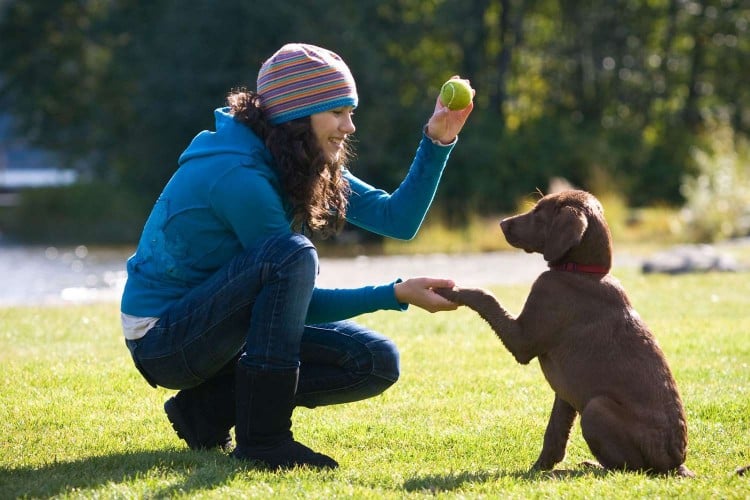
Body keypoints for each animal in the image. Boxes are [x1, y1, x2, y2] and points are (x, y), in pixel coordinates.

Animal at [438, 190, 696, 476]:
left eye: (539, 211)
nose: (502, 223)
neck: (583, 272)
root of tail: (676, 464)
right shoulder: (565, 393)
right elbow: (555, 433)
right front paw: (540, 467)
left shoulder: (523, 340)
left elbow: (486, 297)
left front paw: (450, 290)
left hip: (596, 408)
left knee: (629, 468)